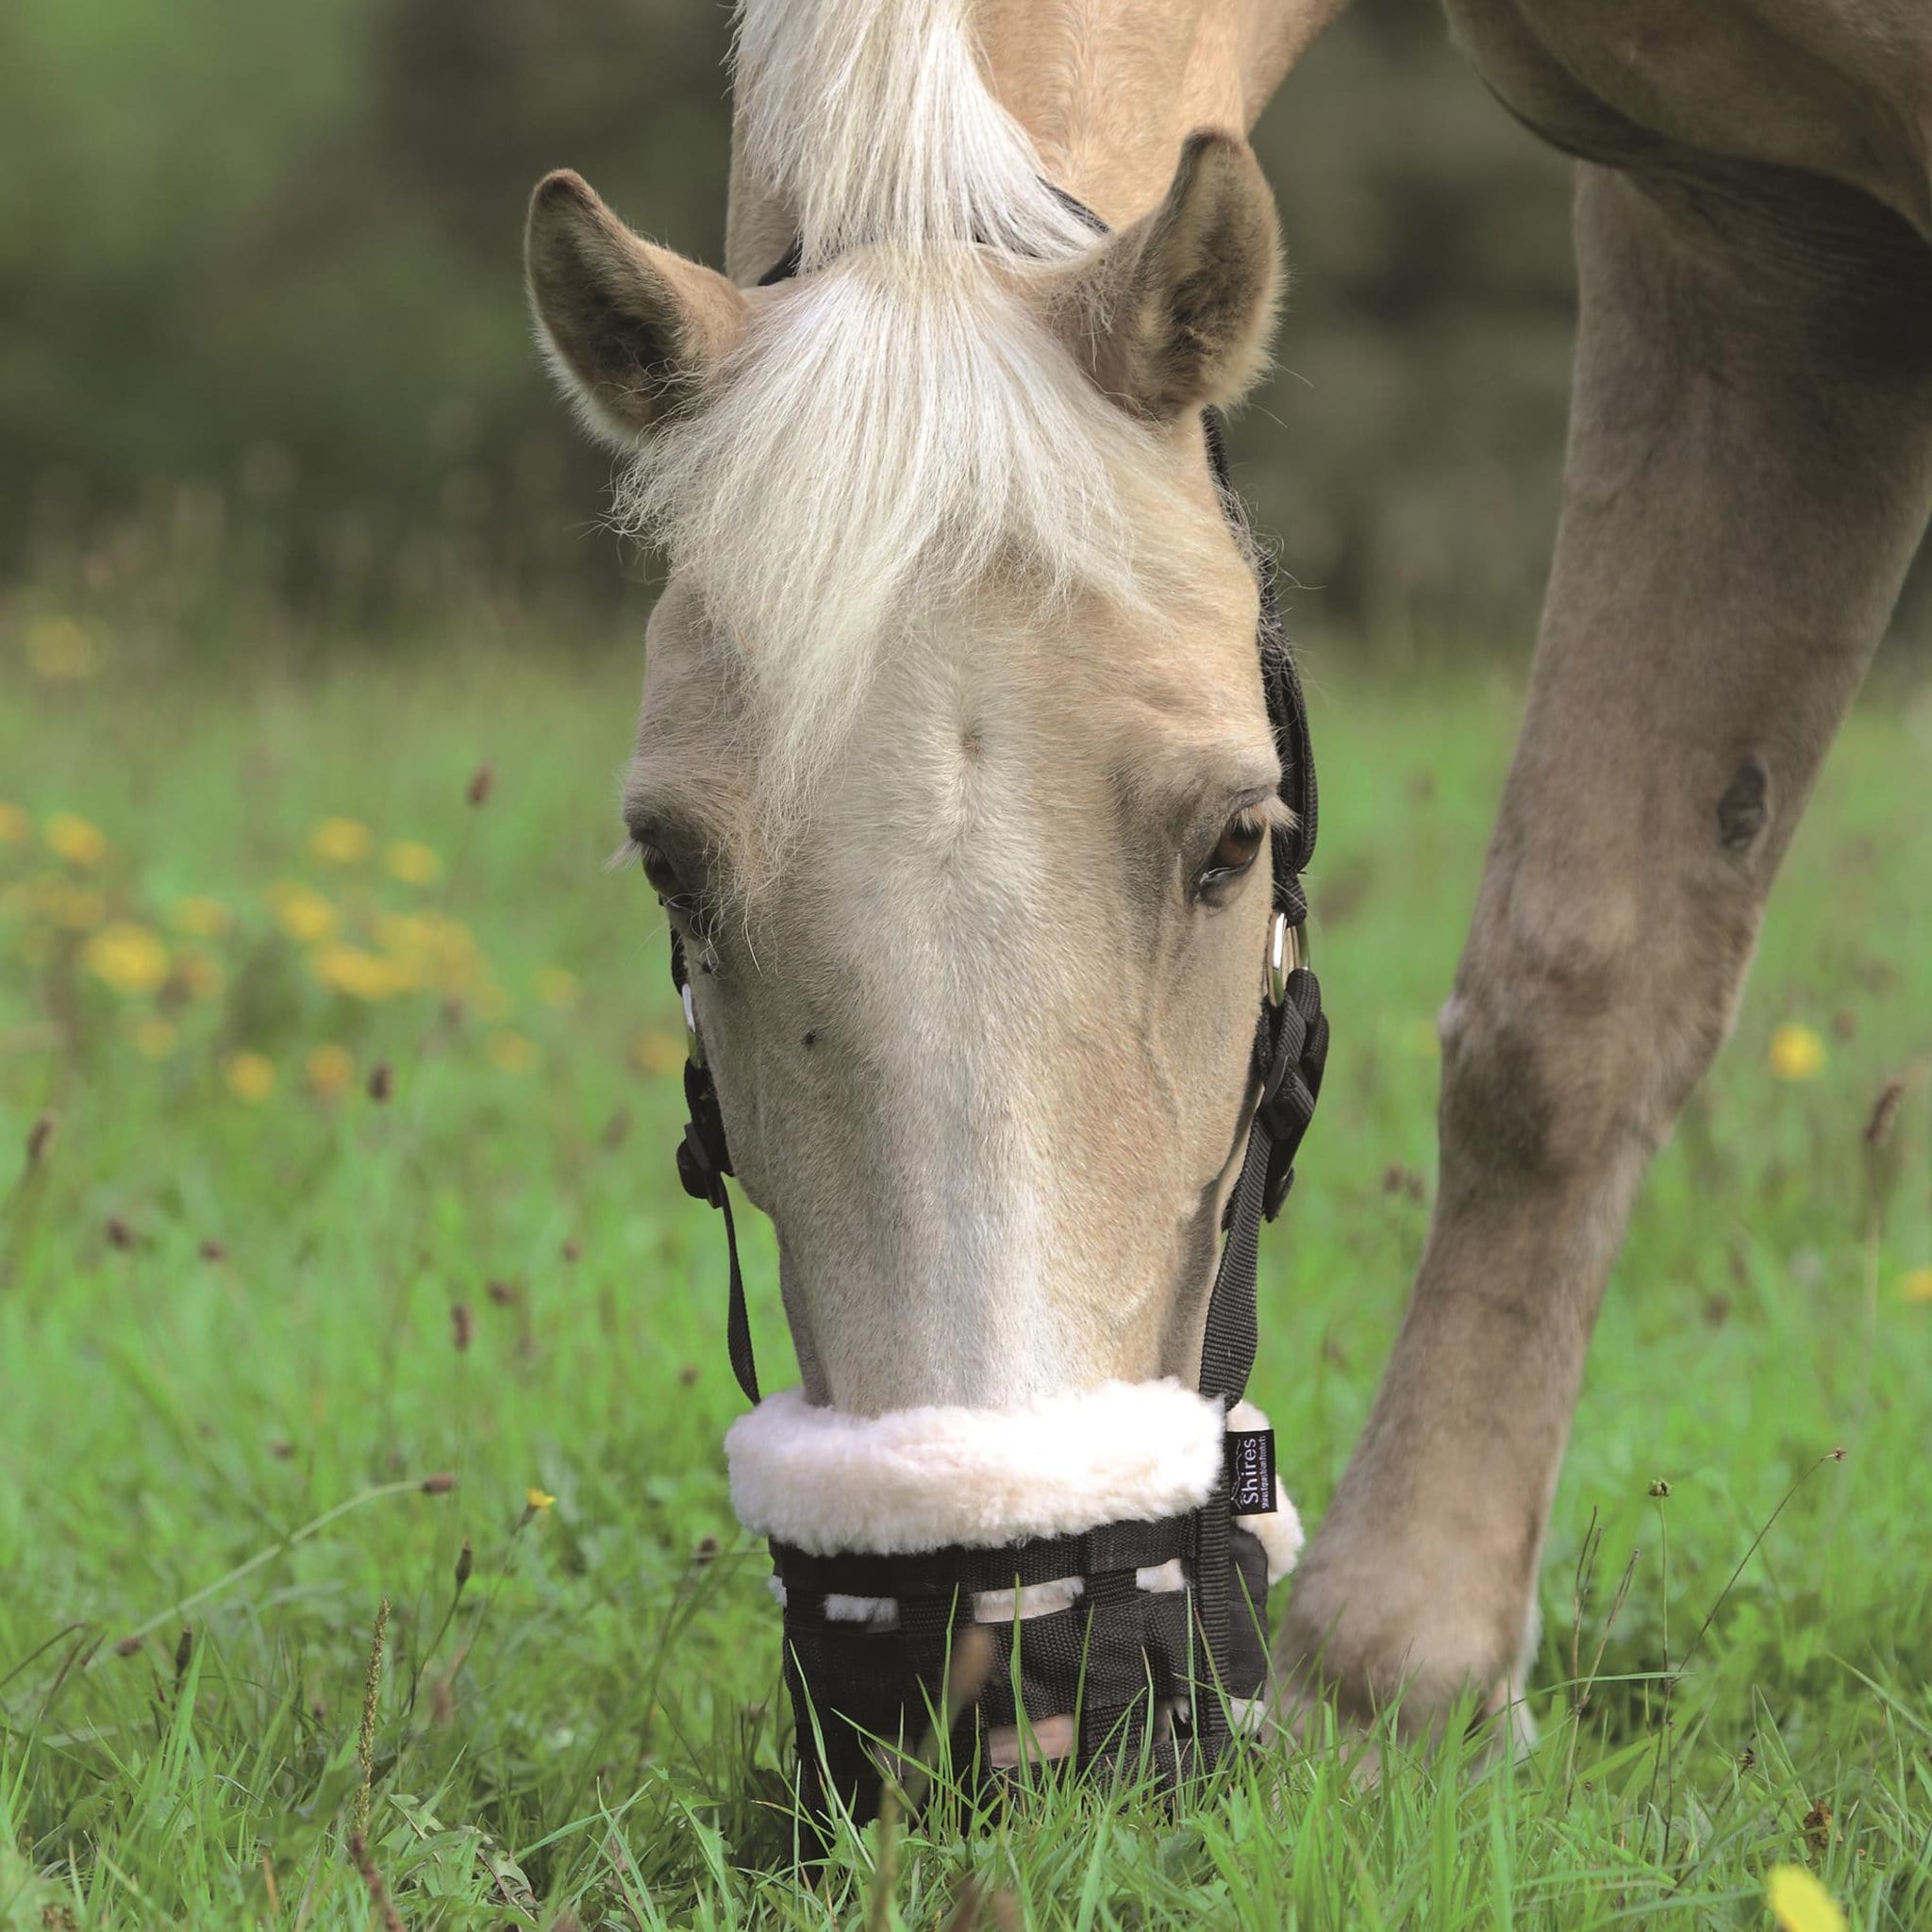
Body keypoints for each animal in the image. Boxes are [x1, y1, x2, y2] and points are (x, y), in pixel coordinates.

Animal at [525, 0, 1932, 1754]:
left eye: (1232, 843)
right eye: (671, 871)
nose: (1007, 1672)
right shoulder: (1742, 234)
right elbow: (1574, 999)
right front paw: (1406, 1686)